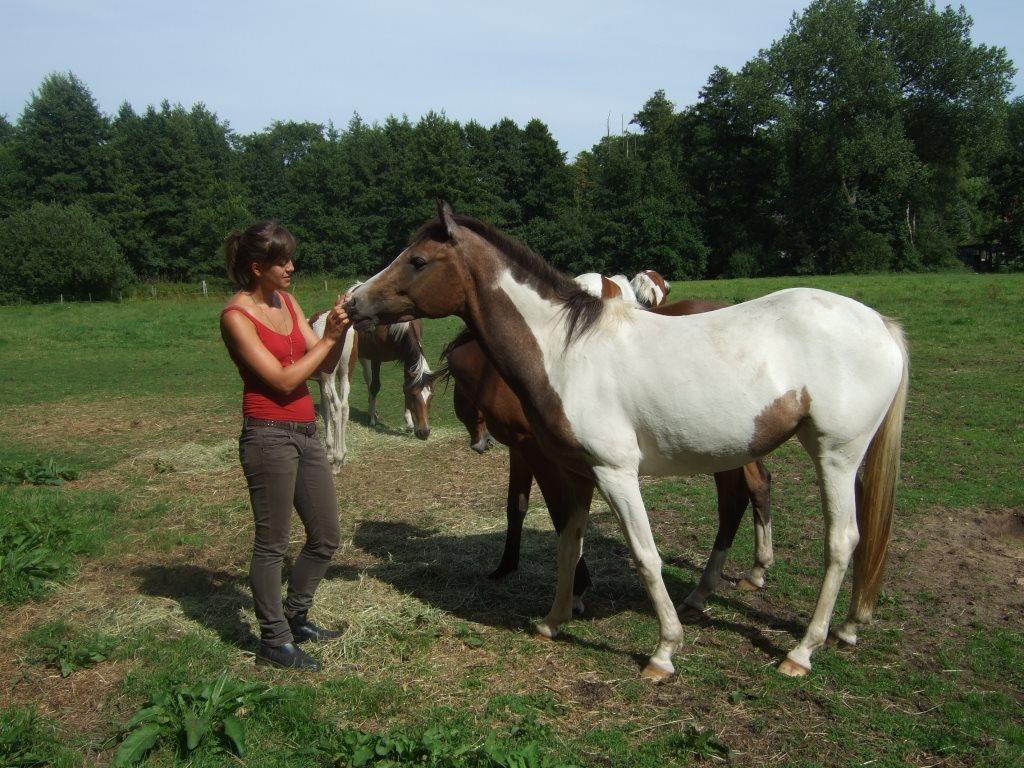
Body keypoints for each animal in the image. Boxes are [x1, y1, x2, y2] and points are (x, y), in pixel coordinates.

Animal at [436, 296, 770, 618]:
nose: (480, 443)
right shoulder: (521, 449)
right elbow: (516, 506)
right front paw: (505, 567)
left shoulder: (540, 452)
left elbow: (559, 514)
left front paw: (577, 590)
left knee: (736, 497)